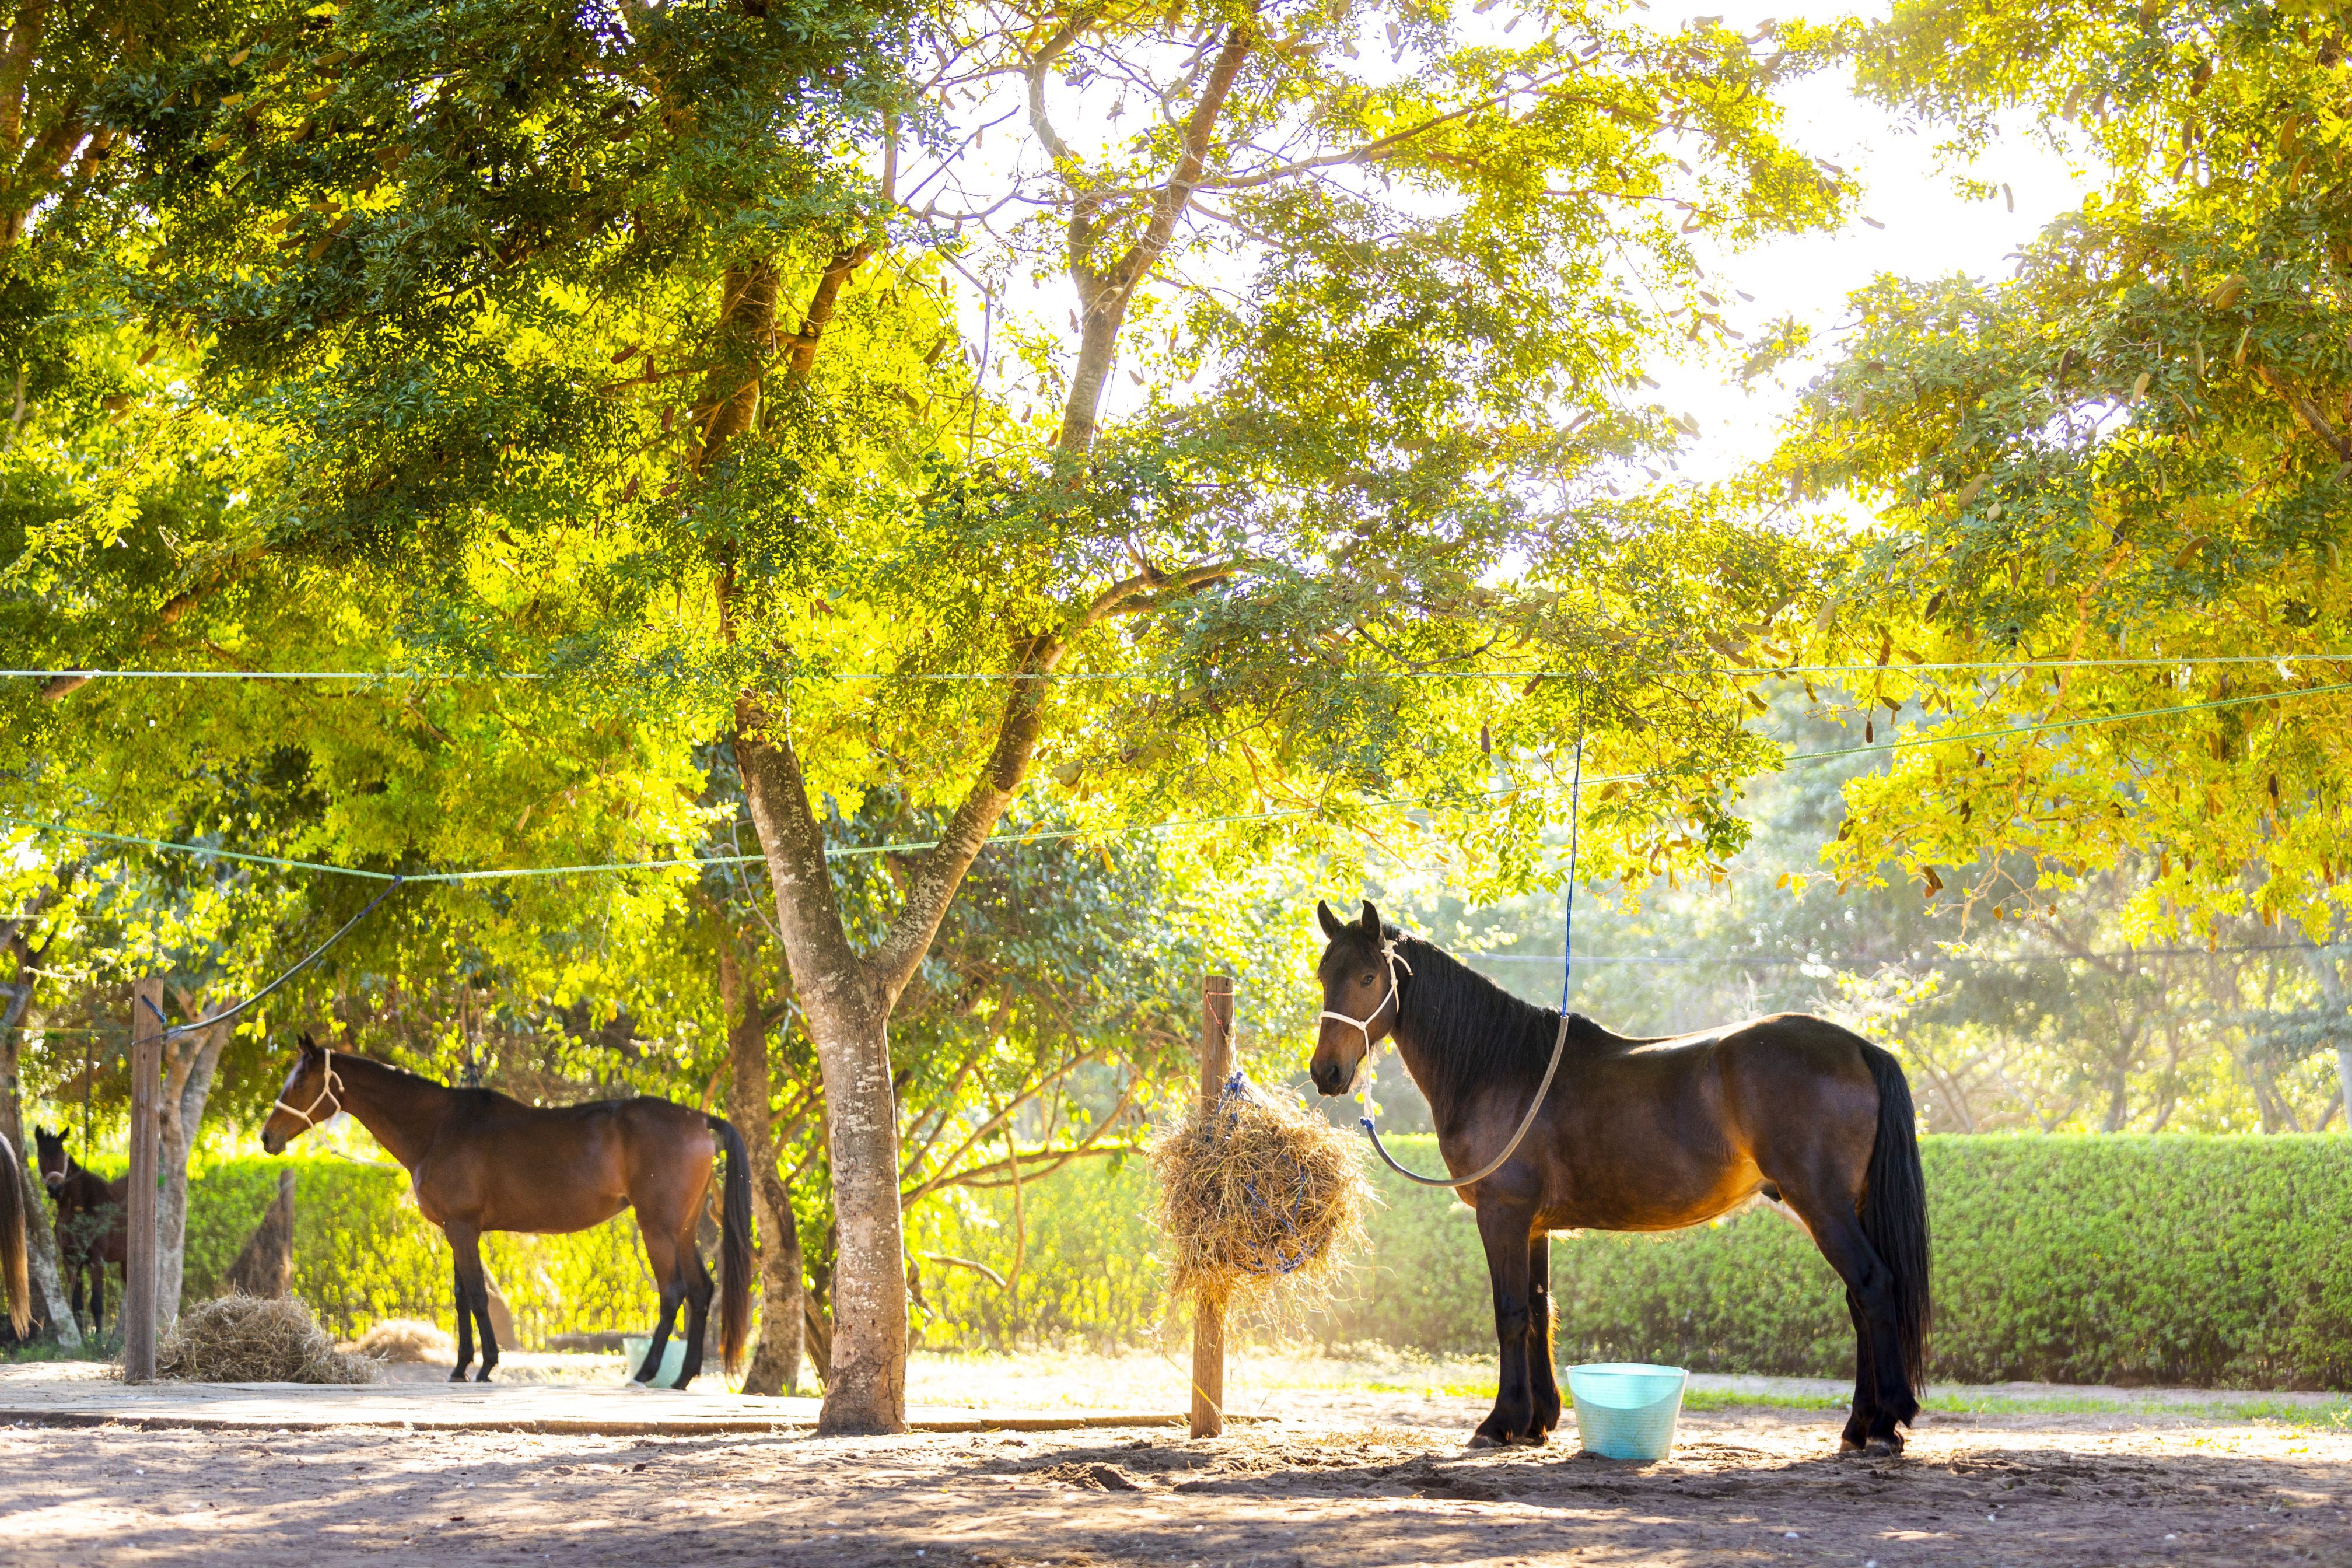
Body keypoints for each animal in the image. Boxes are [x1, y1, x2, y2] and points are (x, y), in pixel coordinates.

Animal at [33, 1128, 127, 1335]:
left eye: (62, 1154)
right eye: (41, 1155)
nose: (55, 1188)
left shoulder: (97, 1259)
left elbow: (97, 1303)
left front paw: (99, 1339)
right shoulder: (70, 1259)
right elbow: (77, 1303)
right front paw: (82, 1338)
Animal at [262, 1044, 748, 1382]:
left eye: (300, 1082)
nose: (267, 1137)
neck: (439, 1128)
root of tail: (696, 1118)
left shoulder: (463, 1228)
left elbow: (478, 1297)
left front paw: (485, 1366)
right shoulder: (454, 1230)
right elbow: (461, 1299)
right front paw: (460, 1367)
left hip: (658, 1228)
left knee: (673, 1293)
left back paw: (648, 1373)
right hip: (683, 1229)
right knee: (702, 1291)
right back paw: (684, 1377)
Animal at [1307, 907, 1929, 1457]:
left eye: (1368, 977)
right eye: (1322, 974)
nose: (1326, 1073)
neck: (1497, 1068)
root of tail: (1858, 1047)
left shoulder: (1502, 1212)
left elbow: (1509, 1312)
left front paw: (1499, 1422)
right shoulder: (1534, 1226)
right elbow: (1540, 1310)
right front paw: (1536, 1423)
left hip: (1823, 1206)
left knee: (1872, 1287)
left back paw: (1884, 1424)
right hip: (1844, 1209)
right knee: (1860, 1301)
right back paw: (1860, 1426)